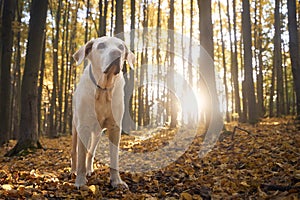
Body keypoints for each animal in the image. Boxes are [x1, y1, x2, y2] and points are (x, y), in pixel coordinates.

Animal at [71, 36, 134, 188]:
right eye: (101, 46)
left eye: (121, 47)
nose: (116, 53)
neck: (103, 89)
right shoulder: (83, 127)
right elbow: (80, 156)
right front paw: (80, 182)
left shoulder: (115, 128)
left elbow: (114, 158)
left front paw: (117, 181)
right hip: (75, 128)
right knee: (74, 152)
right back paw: (73, 171)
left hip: (97, 134)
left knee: (91, 152)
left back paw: (89, 170)